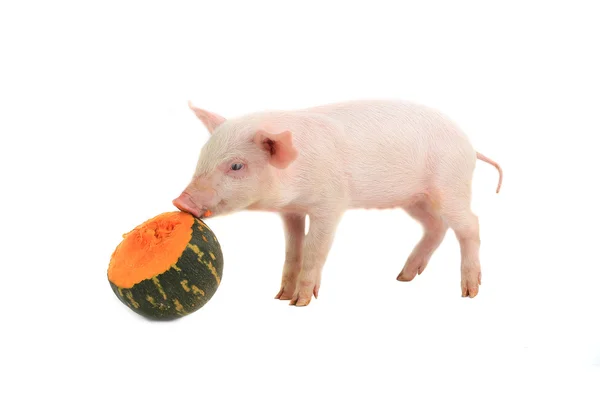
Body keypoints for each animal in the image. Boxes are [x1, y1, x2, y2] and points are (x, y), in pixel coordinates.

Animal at [173, 99, 502, 306]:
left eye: (236, 166)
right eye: (203, 156)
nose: (181, 201)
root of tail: (470, 146)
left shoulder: (330, 204)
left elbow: (315, 249)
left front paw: (299, 303)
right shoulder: (291, 211)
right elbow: (293, 250)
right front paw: (280, 297)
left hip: (451, 185)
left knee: (470, 224)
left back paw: (469, 292)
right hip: (415, 198)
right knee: (436, 226)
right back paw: (403, 278)